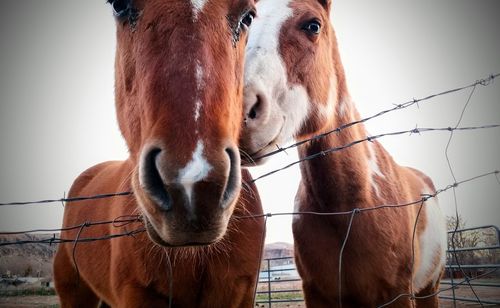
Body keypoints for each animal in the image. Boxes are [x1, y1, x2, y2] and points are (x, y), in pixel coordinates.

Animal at [240, 0, 448, 306]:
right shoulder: (317, 294)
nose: (236, 113)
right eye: (245, 21)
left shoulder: (399, 293)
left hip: (429, 287)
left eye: (313, 25)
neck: (353, 204)